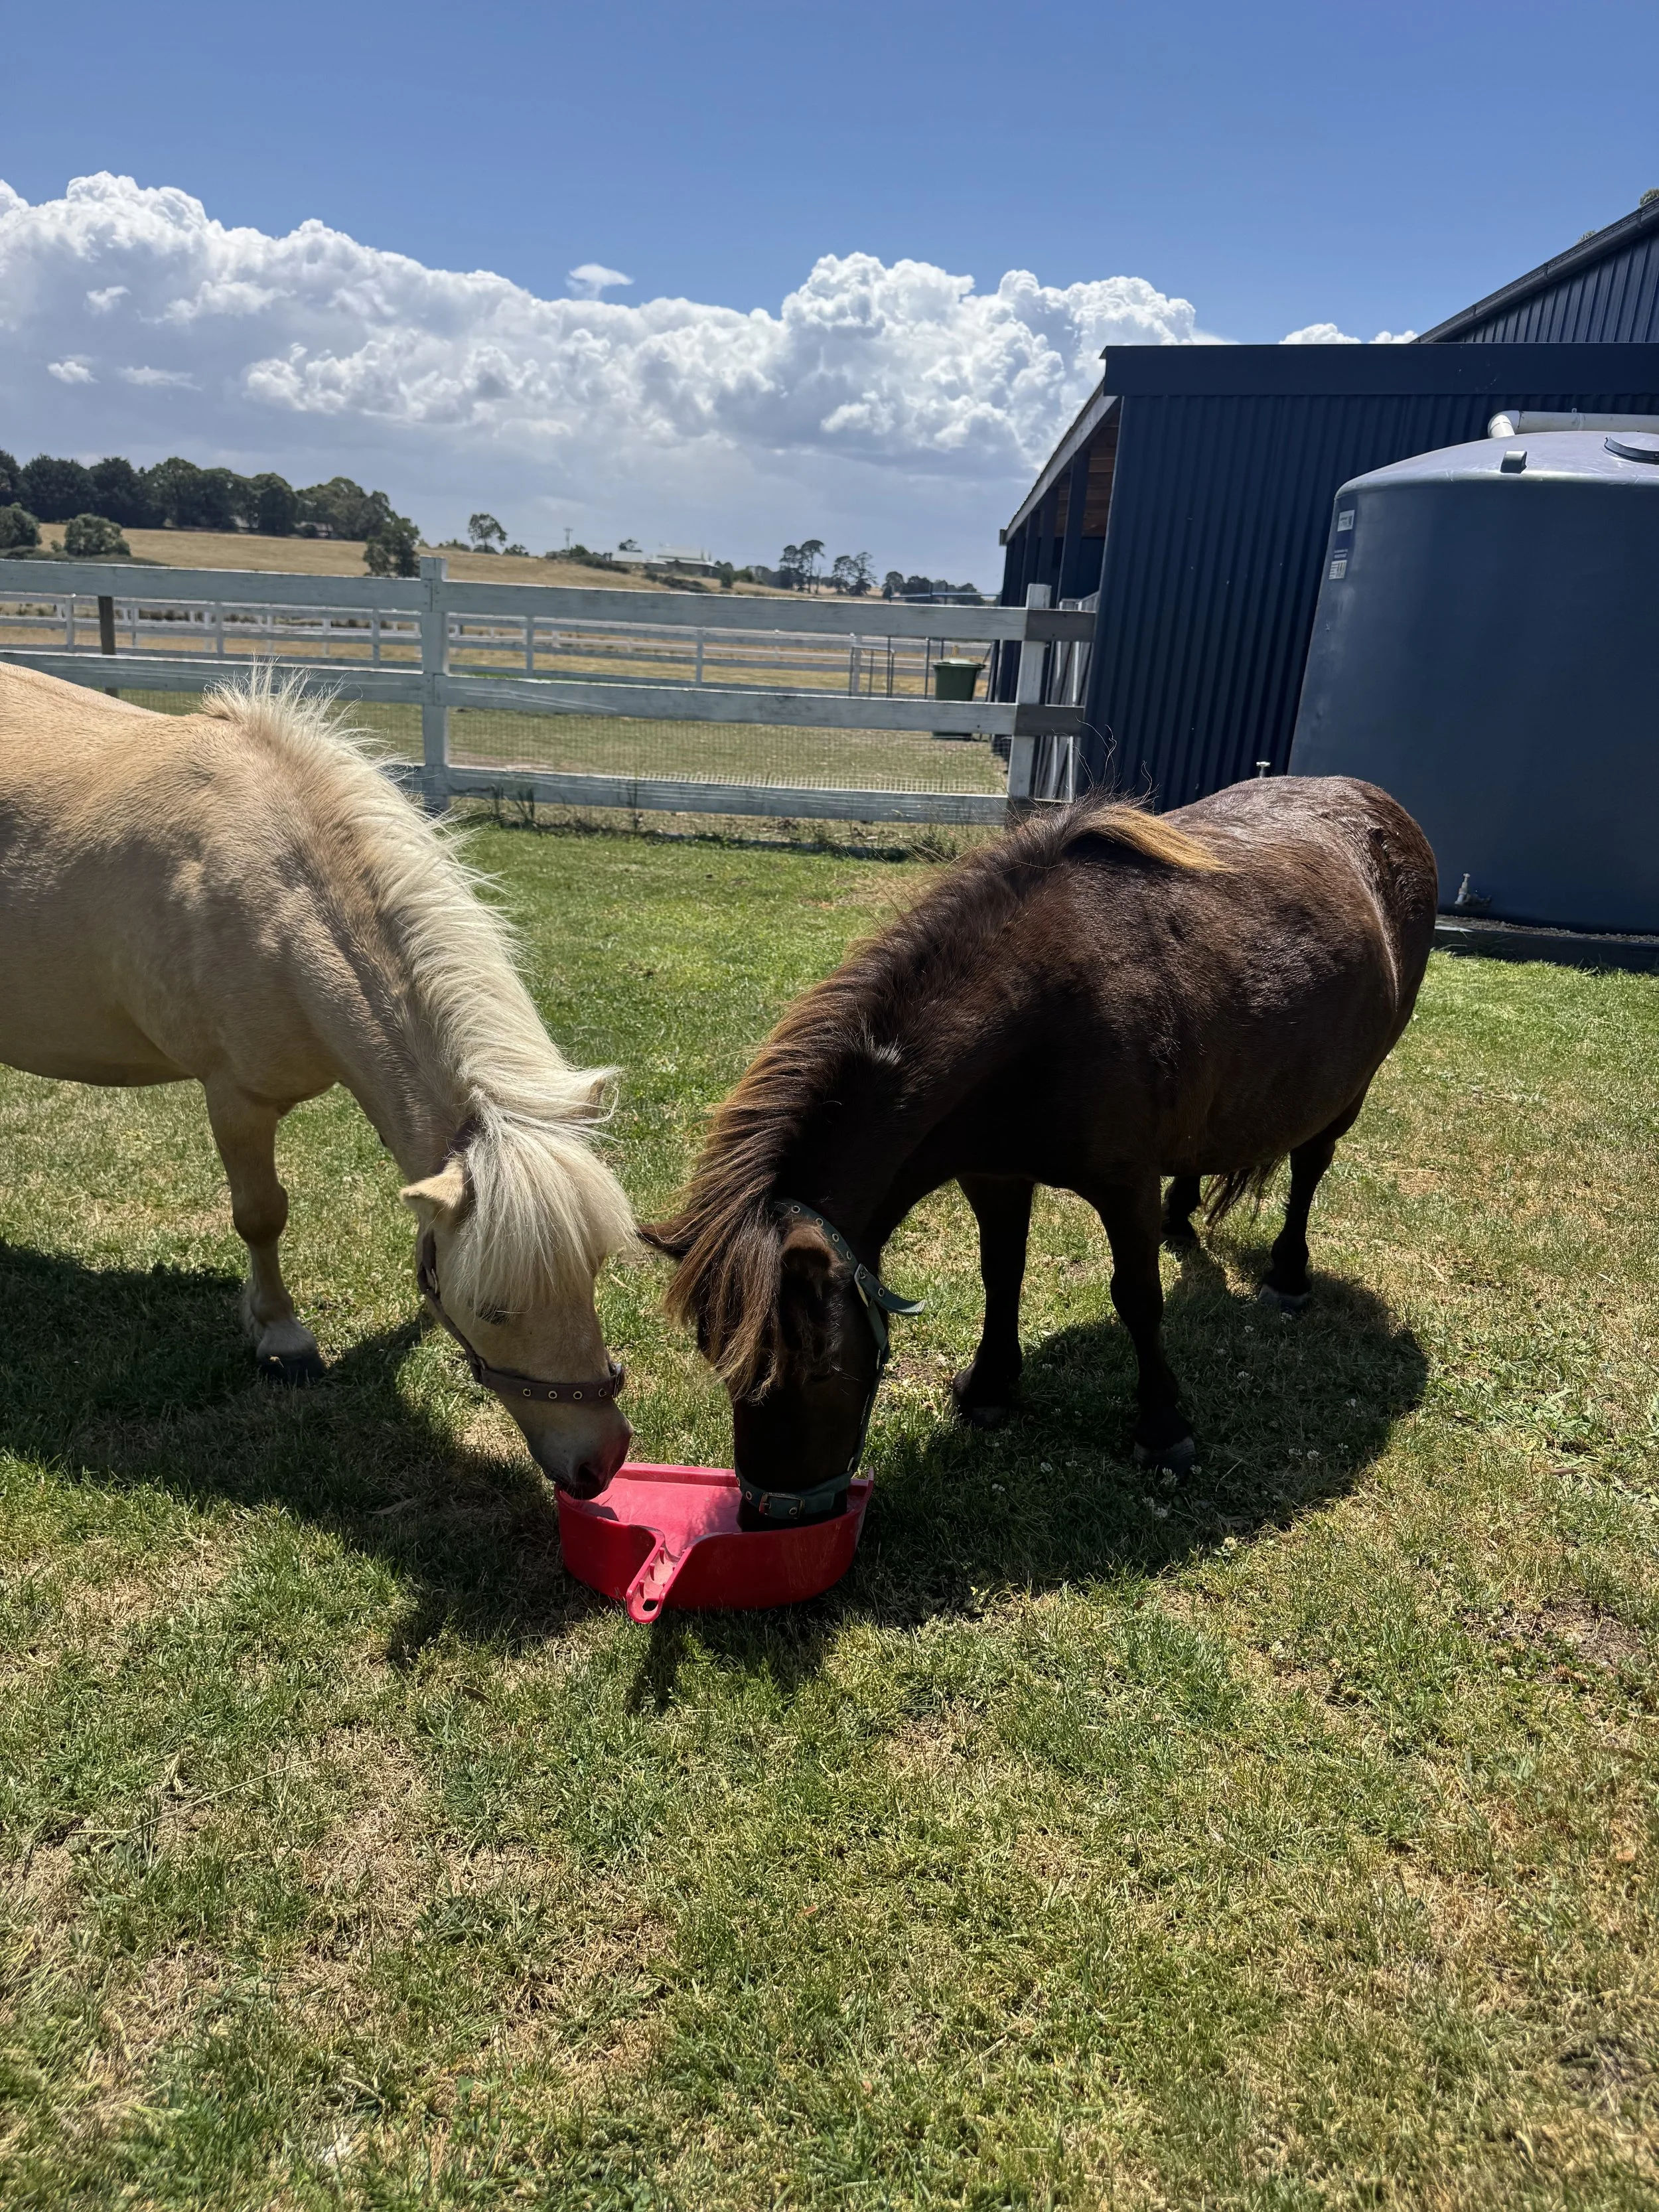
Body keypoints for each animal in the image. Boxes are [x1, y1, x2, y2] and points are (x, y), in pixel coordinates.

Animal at [0, 663, 636, 1495]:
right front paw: (282, 1336)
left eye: (592, 1272)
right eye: (493, 1309)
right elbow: (260, 1215)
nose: (601, 1462)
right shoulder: (234, 1098)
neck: (281, 901)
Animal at [645, 778, 1437, 1517]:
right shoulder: (992, 1174)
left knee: (1309, 1171)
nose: (769, 1518)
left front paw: (1162, 1427)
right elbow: (1003, 1276)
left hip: (1347, 1092)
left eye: (816, 1370)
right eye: (717, 1361)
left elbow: (1138, 1299)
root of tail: (1378, 804)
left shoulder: (1124, 1185)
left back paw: (1287, 1275)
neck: (1043, 1015)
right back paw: (1184, 1219)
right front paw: (991, 1385)